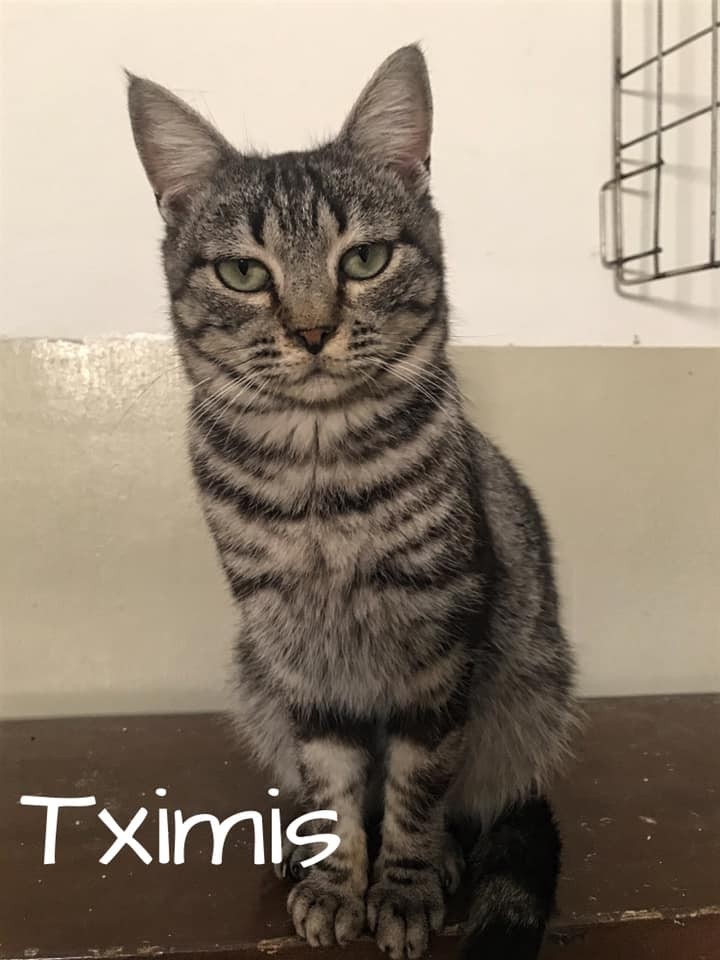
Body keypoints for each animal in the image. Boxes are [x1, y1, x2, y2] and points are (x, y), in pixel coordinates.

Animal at [127, 45, 578, 960]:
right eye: (243, 272)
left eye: (364, 260)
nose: (310, 330)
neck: (318, 474)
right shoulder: (296, 652)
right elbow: (334, 784)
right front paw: (338, 880)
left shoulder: (438, 644)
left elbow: (414, 790)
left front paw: (401, 887)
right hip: (255, 677)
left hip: (528, 696)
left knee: (474, 808)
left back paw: (446, 856)